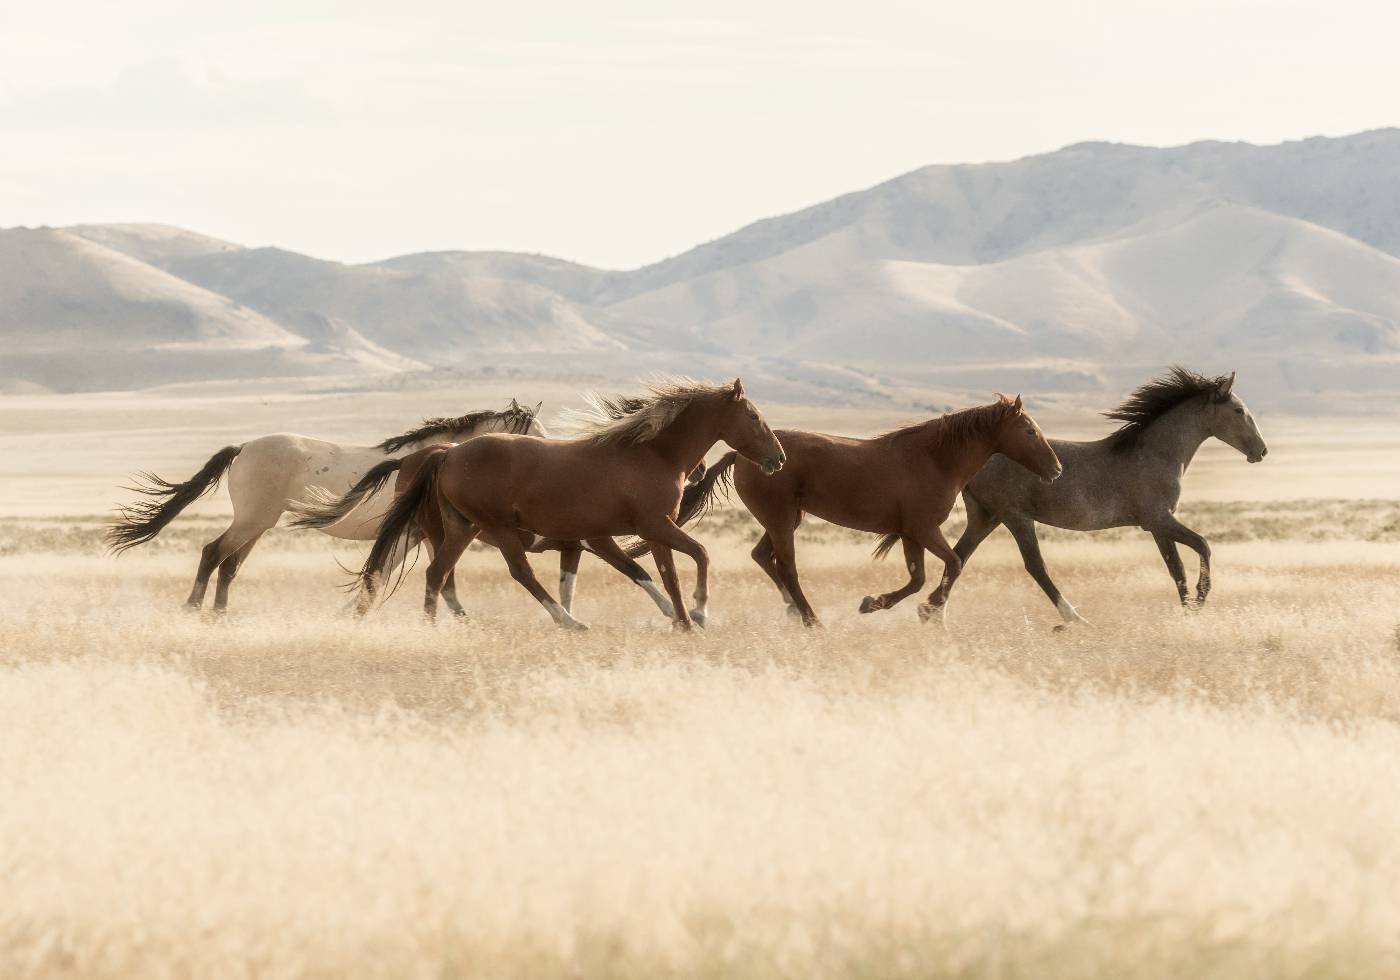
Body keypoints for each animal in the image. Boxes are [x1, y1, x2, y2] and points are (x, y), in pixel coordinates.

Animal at [107, 401, 551, 614]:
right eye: (533, 433)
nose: (549, 458)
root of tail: (244, 447)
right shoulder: (417, 533)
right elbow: (396, 574)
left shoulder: (417, 534)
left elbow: (398, 574)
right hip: (252, 520)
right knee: (212, 553)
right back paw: (194, 609)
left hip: (258, 525)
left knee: (229, 564)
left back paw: (218, 616)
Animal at [354, 378, 785, 631]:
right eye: (753, 416)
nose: (777, 459)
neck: (653, 454)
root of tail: (447, 453)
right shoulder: (653, 526)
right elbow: (699, 555)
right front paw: (698, 613)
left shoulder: (642, 533)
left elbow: (663, 575)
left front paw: (682, 622)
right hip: (495, 528)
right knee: (519, 573)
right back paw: (568, 622)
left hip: (462, 527)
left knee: (437, 574)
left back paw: (431, 630)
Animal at [655, 395, 1061, 628]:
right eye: (1029, 431)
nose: (1056, 469)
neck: (934, 459)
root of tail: (745, 455)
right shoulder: (924, 529)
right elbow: (953, 565)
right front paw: (922, 609)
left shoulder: (911, 533)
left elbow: (918, 578)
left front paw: (876, 604)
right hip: (781, 520)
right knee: (786, 567)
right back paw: (811, 620)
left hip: (786, 519)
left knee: (762, 557)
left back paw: (793, 611)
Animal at [870, 367, 1268, 625]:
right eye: (1238, 410)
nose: (1261, 451)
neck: (1157, 453)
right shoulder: (1160, 519)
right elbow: (1203, 546)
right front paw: (1200, 602)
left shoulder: (1156, 526)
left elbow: (1176, 568)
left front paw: (1188, 611)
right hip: (1015, 516)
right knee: (1035, 566)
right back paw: (1074, 618)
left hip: (986, 517)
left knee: (959, 557)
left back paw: (929, 613)